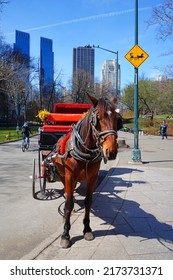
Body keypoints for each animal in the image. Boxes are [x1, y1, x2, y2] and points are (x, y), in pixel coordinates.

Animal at [54, 94, 123, 247]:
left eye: (117, 119)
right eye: (98, 118)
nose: (111, 152)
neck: (84, 151)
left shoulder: (93, 178)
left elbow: (88, 202)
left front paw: (87, 229)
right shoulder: (69, 176)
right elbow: (68, 204)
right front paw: (65, 234)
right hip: (61, 174)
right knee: (67, 192)